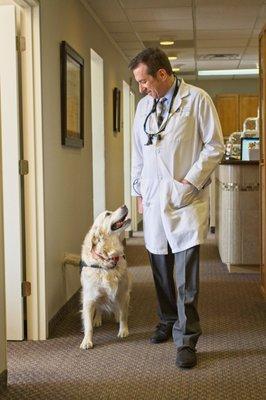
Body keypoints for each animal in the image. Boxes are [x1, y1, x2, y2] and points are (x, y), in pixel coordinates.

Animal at [80, 205, 132, 348]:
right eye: (108, 214)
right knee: (99, 307)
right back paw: (97, 319)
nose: (124, 205)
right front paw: (87, 340)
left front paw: (123, 330)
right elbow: (88, 325)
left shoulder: (123, 293)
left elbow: (124, 315)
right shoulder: (89, 298)